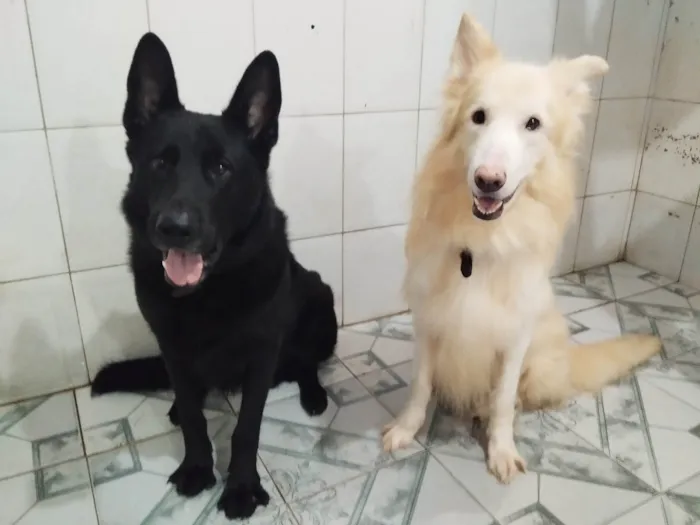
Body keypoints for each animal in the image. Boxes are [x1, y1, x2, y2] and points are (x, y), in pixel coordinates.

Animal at [91, 33, 338, 520]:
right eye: (160, 164)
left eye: (221, 168)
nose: (175, 227)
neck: (210, 290)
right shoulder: (171, 346)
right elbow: (193, 416)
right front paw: (197, 466)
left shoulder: (261, 354)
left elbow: (246, 429)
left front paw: (240, 487)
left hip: (321, 300)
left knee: (305, 362)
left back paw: (313, 393)